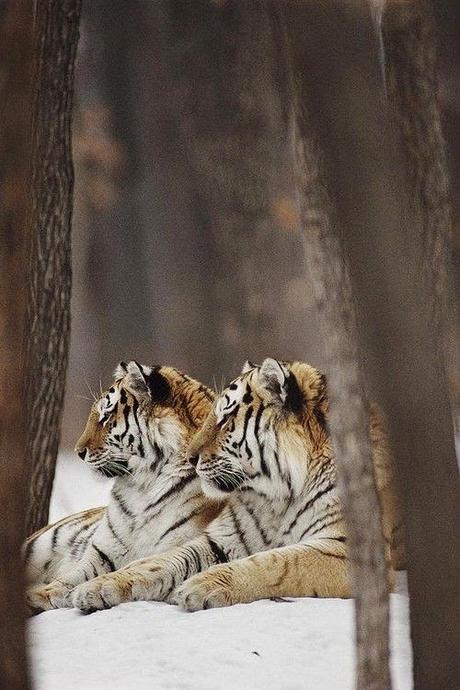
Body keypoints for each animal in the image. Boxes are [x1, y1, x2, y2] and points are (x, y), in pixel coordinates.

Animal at [25, 358, 223, 612]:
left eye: (106, 417)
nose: (78, 452)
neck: (143, 488)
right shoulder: (101, 554)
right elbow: (68, 579)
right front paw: (41, 594)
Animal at [68, 358, 402, 612]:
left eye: (225, 419)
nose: (190, 457)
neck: (278, 497)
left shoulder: (347, 550)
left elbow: (277, 562)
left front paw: (201, 585)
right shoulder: (220, 538)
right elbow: (159, 561)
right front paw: (97, 586)